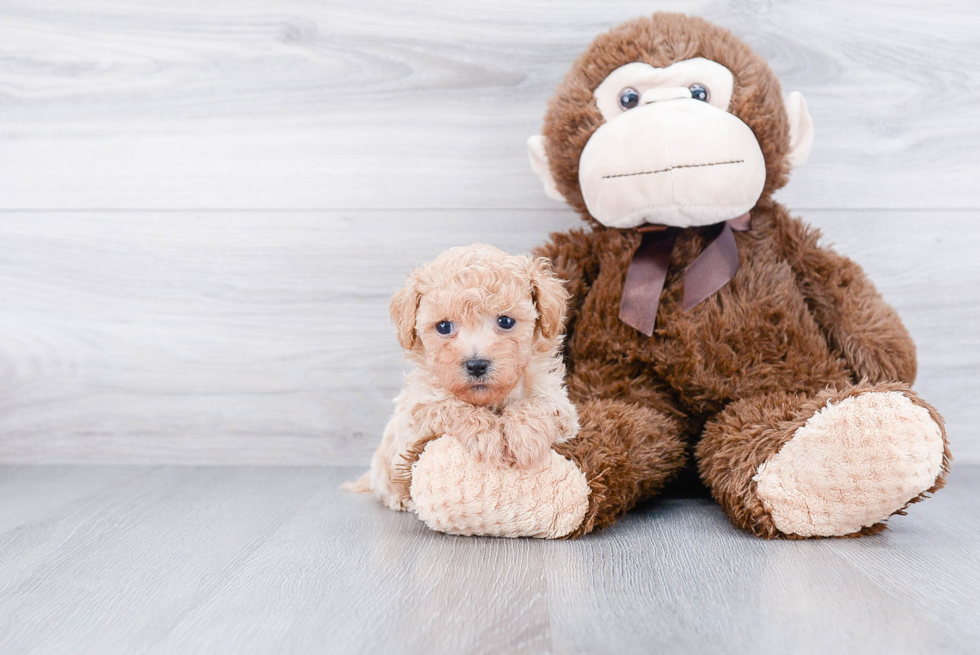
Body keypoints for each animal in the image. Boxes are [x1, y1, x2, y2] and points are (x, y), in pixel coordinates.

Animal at [346, 243, 580, 510]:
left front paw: (525, 439)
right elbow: (450, 405)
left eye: (506, 321)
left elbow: (537, 404)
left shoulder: (561, 404)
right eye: (443, 327)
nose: (476, 365)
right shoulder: (417, 415)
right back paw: (400, 499)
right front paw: (487, 437)